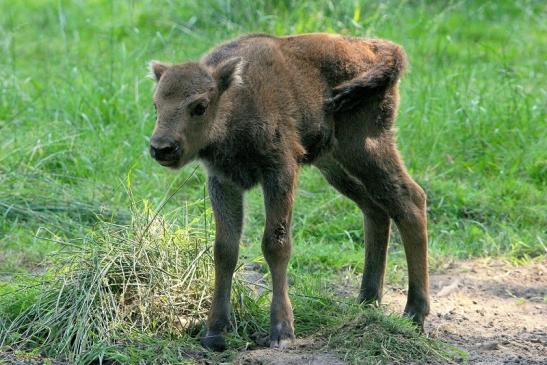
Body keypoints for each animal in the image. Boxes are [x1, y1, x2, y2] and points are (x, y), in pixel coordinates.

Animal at [148, 33, 430, 350]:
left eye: (200, 106)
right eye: (157, 104)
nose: (161, 148)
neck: (235, 97)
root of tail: (381, 48)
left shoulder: (280, 171)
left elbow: (276, 244)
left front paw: (282, 331)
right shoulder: (223, 182)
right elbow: (224, 249)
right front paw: (215, 333)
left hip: (366, 148)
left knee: (410, 201)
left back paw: (414, 314)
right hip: (334, 164)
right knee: (376, 210)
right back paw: (367, 302)